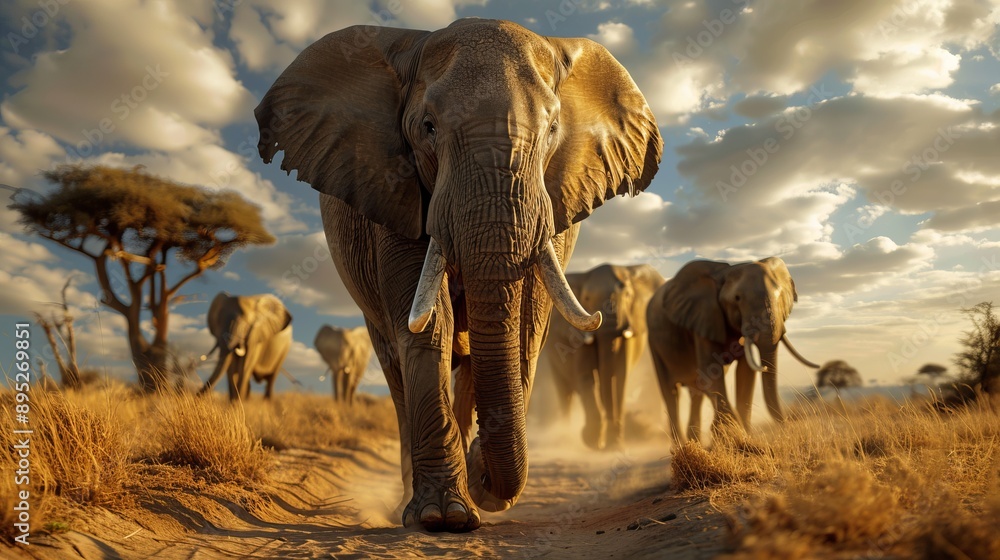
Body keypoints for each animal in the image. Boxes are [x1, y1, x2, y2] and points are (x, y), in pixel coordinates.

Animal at [540, 264, 665, 450]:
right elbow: (586, 376)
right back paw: (565, 437)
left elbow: (620, 376)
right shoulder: (575, 334)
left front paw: (615, 445)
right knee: (565, 392)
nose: (604, 445)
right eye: (586, 298)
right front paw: (591, 439)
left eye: (628, 296)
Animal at [646, 257, 818, 444]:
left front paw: (741, 435)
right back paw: (682, 446)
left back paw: (695, 442)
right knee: (671, 393)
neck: (725, 273)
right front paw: (732, 434)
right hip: (654, 344)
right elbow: (711, 372)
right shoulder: (704, 318)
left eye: (779, 296)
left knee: (696, 392)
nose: (786, 431)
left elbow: (745, 373)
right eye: (737, 298)